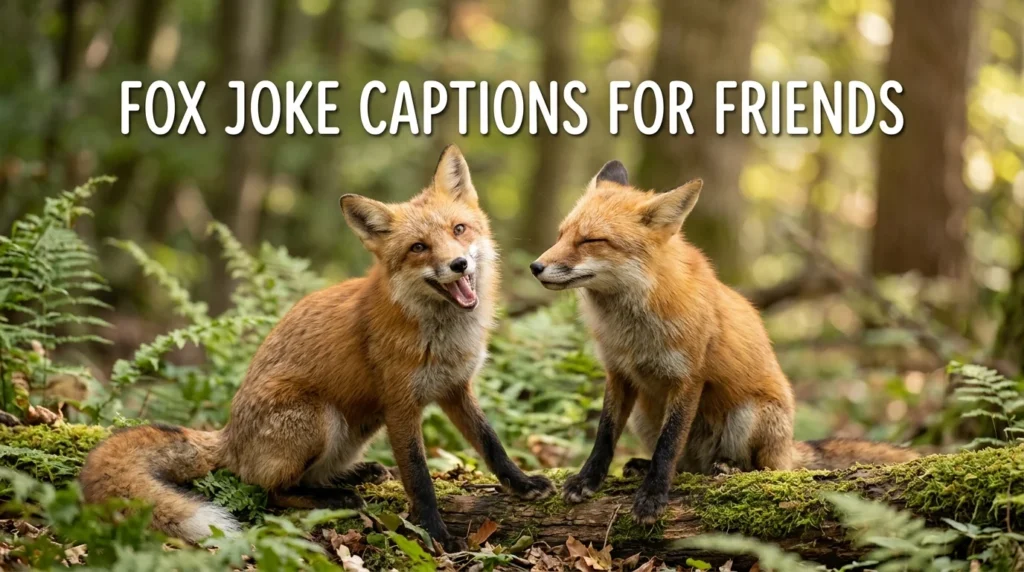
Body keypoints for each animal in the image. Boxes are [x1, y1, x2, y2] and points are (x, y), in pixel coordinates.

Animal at [80, 145, 553, 549]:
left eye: (459, 229)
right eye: (419, 248)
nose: (459, 264)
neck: (444, 335)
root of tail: (229, 436)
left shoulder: (455, 387)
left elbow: (491, 444)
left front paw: (523, 483)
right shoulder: (400, 404)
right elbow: (419, 477)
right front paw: (436, 534)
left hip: (357, 428)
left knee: (308, 478)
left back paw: (354, 476)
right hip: (319, 418)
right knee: (270, 490)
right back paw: (336, 498)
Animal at [530, 160, 918, 524]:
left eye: (591, 240)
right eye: (561, 235)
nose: (536, 266)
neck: (633, 330)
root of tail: (787, 448)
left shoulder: (689, 378)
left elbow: (668, 445)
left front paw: (653, 497)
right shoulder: (618, 373)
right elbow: (605, 435)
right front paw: (587, 480)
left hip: (751, 414)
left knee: (763, 470)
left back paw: (729, 466)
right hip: (644, 412)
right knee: (687, 466)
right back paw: (647, 465)